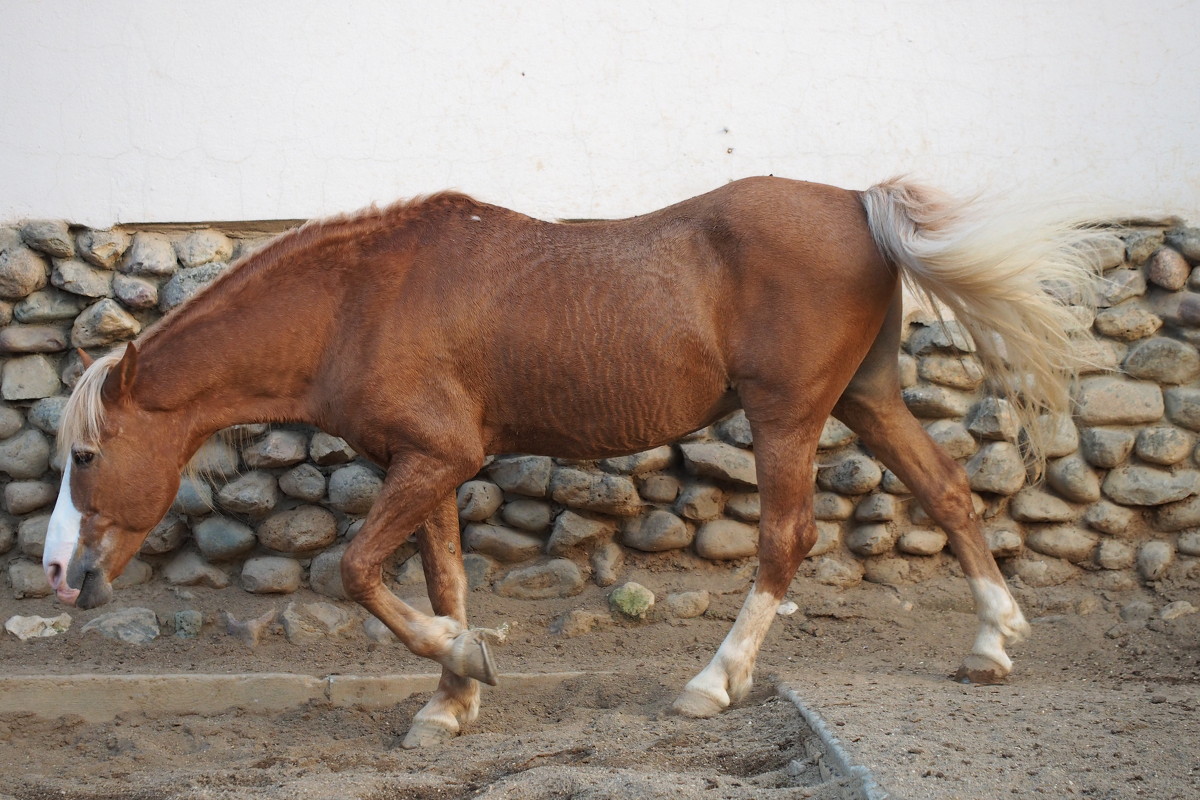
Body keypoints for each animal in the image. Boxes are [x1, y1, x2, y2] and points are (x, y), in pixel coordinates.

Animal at [44, 176, 1099, 753]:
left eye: (89, 454)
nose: (60, 575)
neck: (358, 301)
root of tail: (855, 203)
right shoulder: (426, 465)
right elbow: (440, 578)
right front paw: (450, 701)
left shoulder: (435, 457)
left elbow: (356, 571)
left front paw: (463, 663)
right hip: (865, 399)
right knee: (949, 493)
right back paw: (991, 645)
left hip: (789, 414)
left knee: (786, 539)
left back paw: (712, 683)